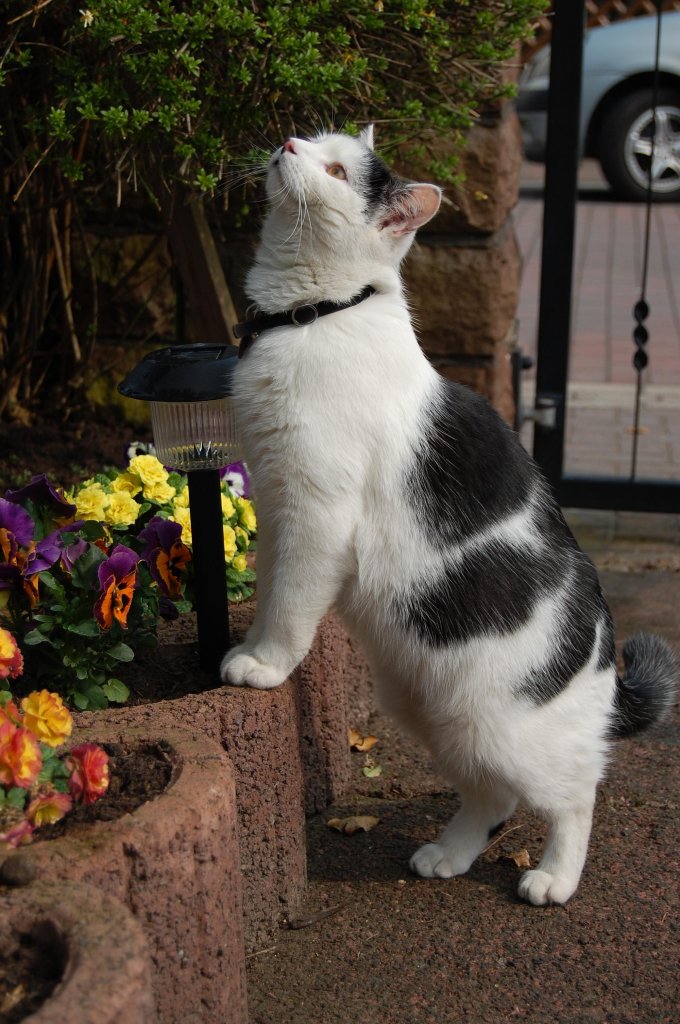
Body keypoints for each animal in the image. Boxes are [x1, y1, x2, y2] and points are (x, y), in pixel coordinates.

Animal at [220, 125, 675, 905]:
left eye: (337, 170)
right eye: (313, 139)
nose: (287, 144)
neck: (316, 315)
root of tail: (605, 662)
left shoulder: (318, 512)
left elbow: (293, 603)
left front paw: (268, 664)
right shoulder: (277, 502)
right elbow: (271, 583)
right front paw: (247, 644)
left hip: (510, 732)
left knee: (575, 792)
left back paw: (555, 877)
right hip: (433, 709)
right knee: (491, 796)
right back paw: (448, 854)